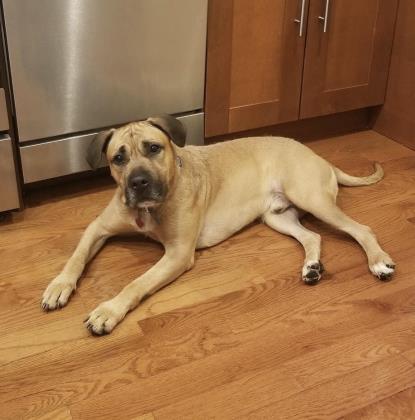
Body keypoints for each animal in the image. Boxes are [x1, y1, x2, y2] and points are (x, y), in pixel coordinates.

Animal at [41, 114, 396, 334]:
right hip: (277, 216)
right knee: (312, 238)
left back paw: (379, 262)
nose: (139, 183)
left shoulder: (177, 255)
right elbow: (76, 258)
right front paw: (59, 286)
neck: (152, 208)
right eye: (119, 158)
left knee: (362, 230)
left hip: (312, 199)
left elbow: (136, 283)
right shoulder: (98, 228)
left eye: (154, 148)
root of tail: (319, 157)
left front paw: (108, 311)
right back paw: (311, 267)